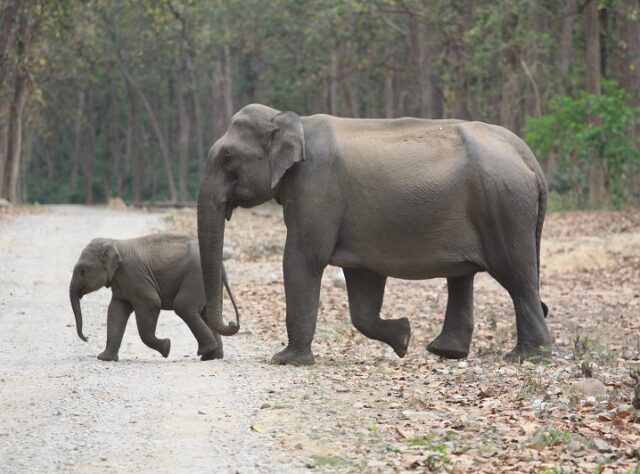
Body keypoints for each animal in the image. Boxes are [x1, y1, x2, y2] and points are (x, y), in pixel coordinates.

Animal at [69, 234, 239, 361]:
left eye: (82, 270)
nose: (87, 338)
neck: (114, 242)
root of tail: (221, 264)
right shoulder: (121, 282)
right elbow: (115, 312)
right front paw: (104, 359)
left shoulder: (134, 275)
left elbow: (151, 302)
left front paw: (167, 347)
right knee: (205, 313)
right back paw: (212, 356)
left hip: (196, 276)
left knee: (183, 306)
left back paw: (205, 351)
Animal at [196, 104, 551, 366]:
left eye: (228, 158)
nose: (234, 324)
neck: (292, 121)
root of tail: (531, 160)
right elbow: (362, 284)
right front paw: (403, 337)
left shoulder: (314, 189)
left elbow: (303, 259)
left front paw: (286, 360)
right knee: (464, 277)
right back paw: (446, 352)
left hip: (503, 207)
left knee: (517, 277)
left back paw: (527, 357)